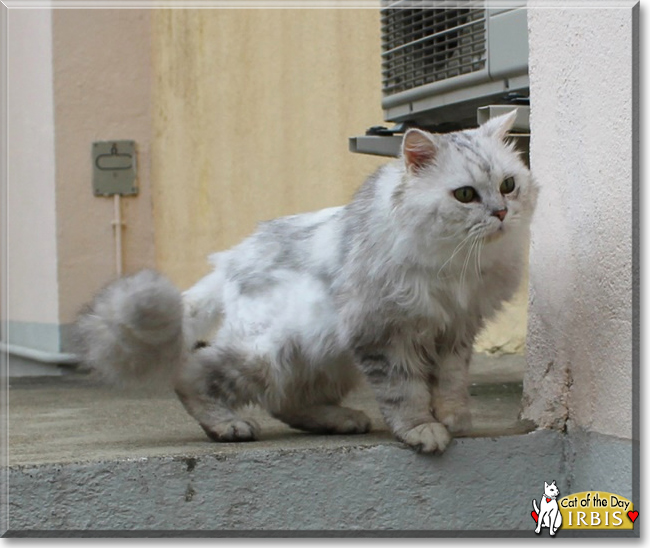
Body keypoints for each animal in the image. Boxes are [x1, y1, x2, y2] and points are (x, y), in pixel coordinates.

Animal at [74, 111, 536, 454]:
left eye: (508, 185)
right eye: (465, 195)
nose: (500, 213)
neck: (457, 261)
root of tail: (230, 261)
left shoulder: (456, 329)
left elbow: (451, 383)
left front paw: (455, 419)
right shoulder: (385, 333)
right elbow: (405, 393)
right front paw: (423, 430)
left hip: (324, 359)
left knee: (286, 402)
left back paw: (343, 419)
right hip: (274, 351)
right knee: (193, 372)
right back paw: (228, 426)